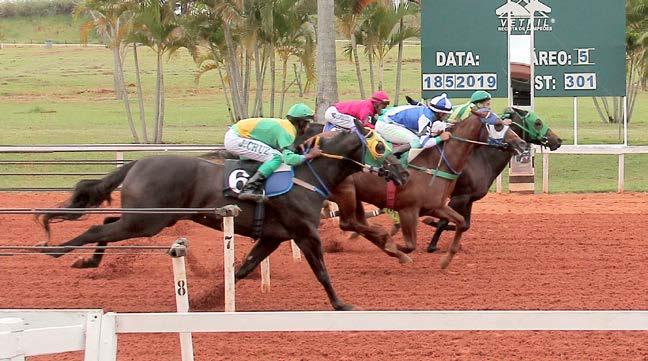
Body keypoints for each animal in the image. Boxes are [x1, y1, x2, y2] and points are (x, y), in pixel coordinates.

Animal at [38, 119, 408, 310]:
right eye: (382, 147)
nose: (403, 173)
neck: (307, 174)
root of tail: (138, 162)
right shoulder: (305, 233)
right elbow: (321, 271)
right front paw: (342, 304)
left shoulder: (273, 237)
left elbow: (243, 269)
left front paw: (208, 299)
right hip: (147, 221)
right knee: (97, 231)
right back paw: (58, 251)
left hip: (145, 218)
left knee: (104, 223)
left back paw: (87, 260)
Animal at [326, 112, 528, 268]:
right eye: (499, 125)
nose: (522, 144)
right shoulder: (410, 209)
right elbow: (410, 244)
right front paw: (398, 247)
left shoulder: (440, 205)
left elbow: (461, 223)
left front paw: (445, 259)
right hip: (346, 192)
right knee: (348, 223)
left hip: (354, 196)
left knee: (356, 223)